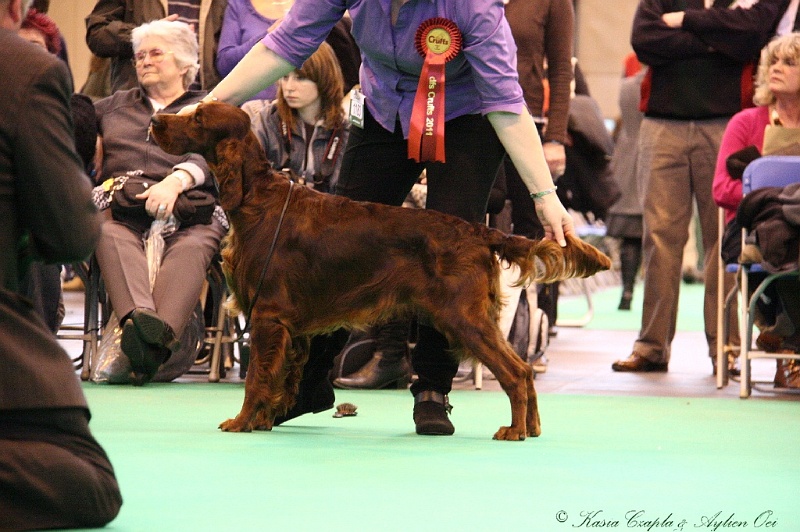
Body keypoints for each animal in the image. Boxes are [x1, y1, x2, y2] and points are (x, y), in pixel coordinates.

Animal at [152, 101, 612, 440]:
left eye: (197, 118)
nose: (156, 120)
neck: (256, 199)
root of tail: (478, 230)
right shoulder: (290, 326)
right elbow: (281, 374)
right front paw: (266, 419)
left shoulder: (268, 314)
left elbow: (256, 377)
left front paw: (243, 421)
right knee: (524, 370)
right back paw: (531, 428)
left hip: (463, 317)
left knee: (516, 371)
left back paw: (514, 430)